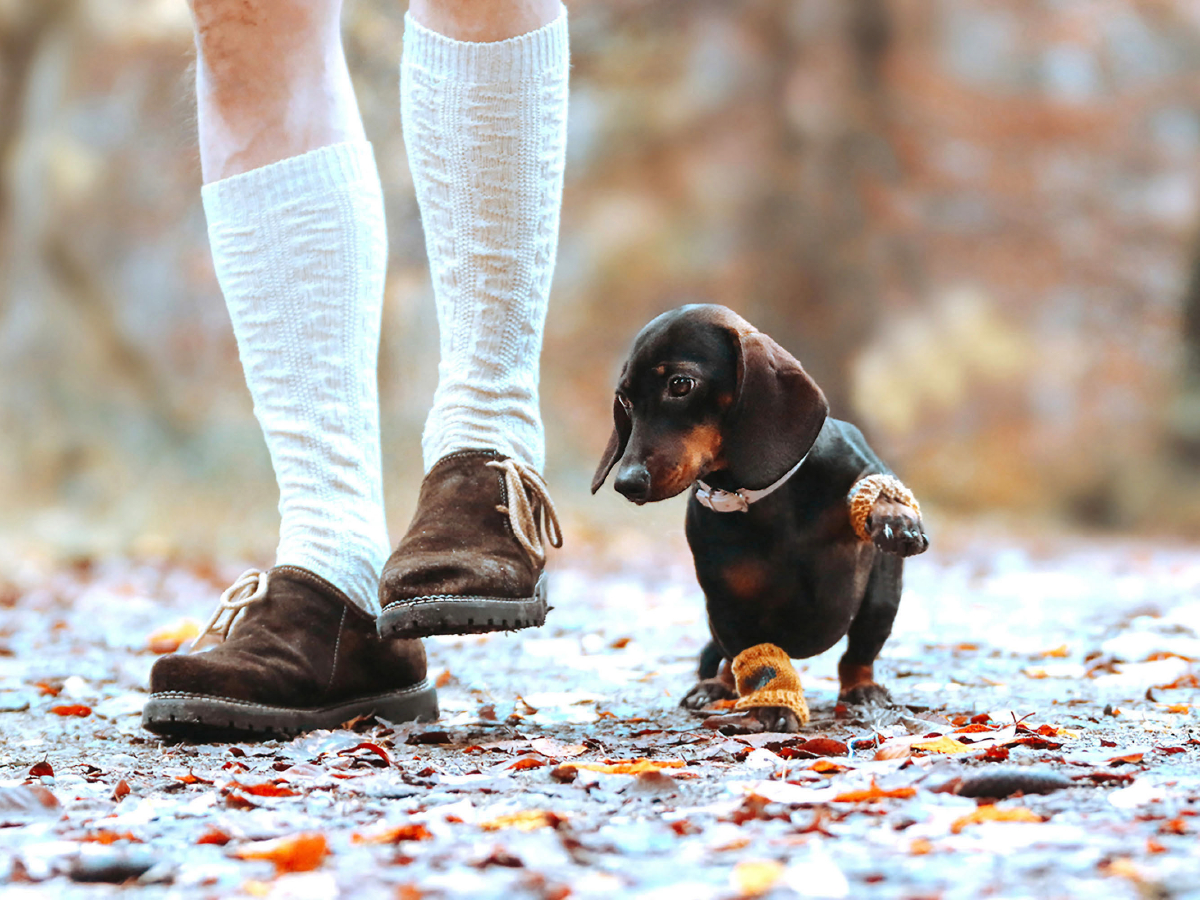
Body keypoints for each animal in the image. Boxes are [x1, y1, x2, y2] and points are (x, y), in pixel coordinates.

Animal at [590, 303, 926, 734]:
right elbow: (758, 662)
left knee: (857, 654)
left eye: (680, 385)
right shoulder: (728, 606)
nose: (627, 483)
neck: (759, 496)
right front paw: (775, 705)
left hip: (881, 600)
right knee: (726, 663)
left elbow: (872, 487)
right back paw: (714, 686)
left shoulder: (861, 468)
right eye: (625, 400)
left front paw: (897, 517)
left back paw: (862, 688)